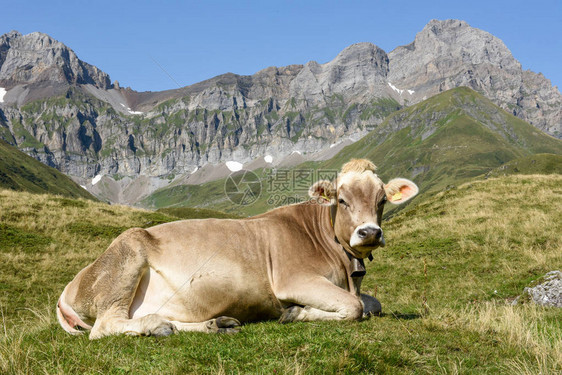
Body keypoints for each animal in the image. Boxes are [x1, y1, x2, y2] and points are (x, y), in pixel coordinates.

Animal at [57, 158, 416, 338]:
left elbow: (373, 304)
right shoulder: (294, 279)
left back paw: (209, 324)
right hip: (127, 256)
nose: (369, 232)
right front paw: (295, 313)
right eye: (342, 200)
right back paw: (155, 326)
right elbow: (355, 308)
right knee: (105, 327)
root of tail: (71, 285)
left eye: (382, 200)